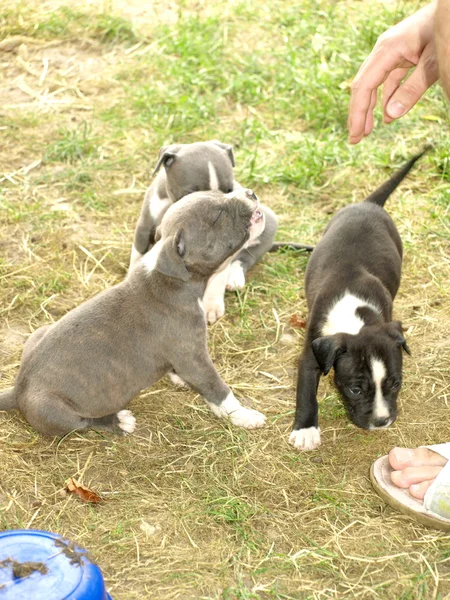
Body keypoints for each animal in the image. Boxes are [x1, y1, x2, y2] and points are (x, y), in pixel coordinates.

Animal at [0, 190, 268, 438]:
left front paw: (179, 378)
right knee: (84, 423)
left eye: (219, 193)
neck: (174, 279)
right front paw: (244, 416)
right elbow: (218, 390)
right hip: (56, 411)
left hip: (38, 333)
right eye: (218, 216)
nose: (250, 193)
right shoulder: (193, 356)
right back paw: (119, 421)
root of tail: (18, 389)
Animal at [288, 150, 428, 450]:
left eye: (396, 384)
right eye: (355, 389)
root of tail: (368, 203)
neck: (354, 318)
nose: (382, 421)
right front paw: (306, 429)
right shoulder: (311, 351)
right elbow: (305, 392)